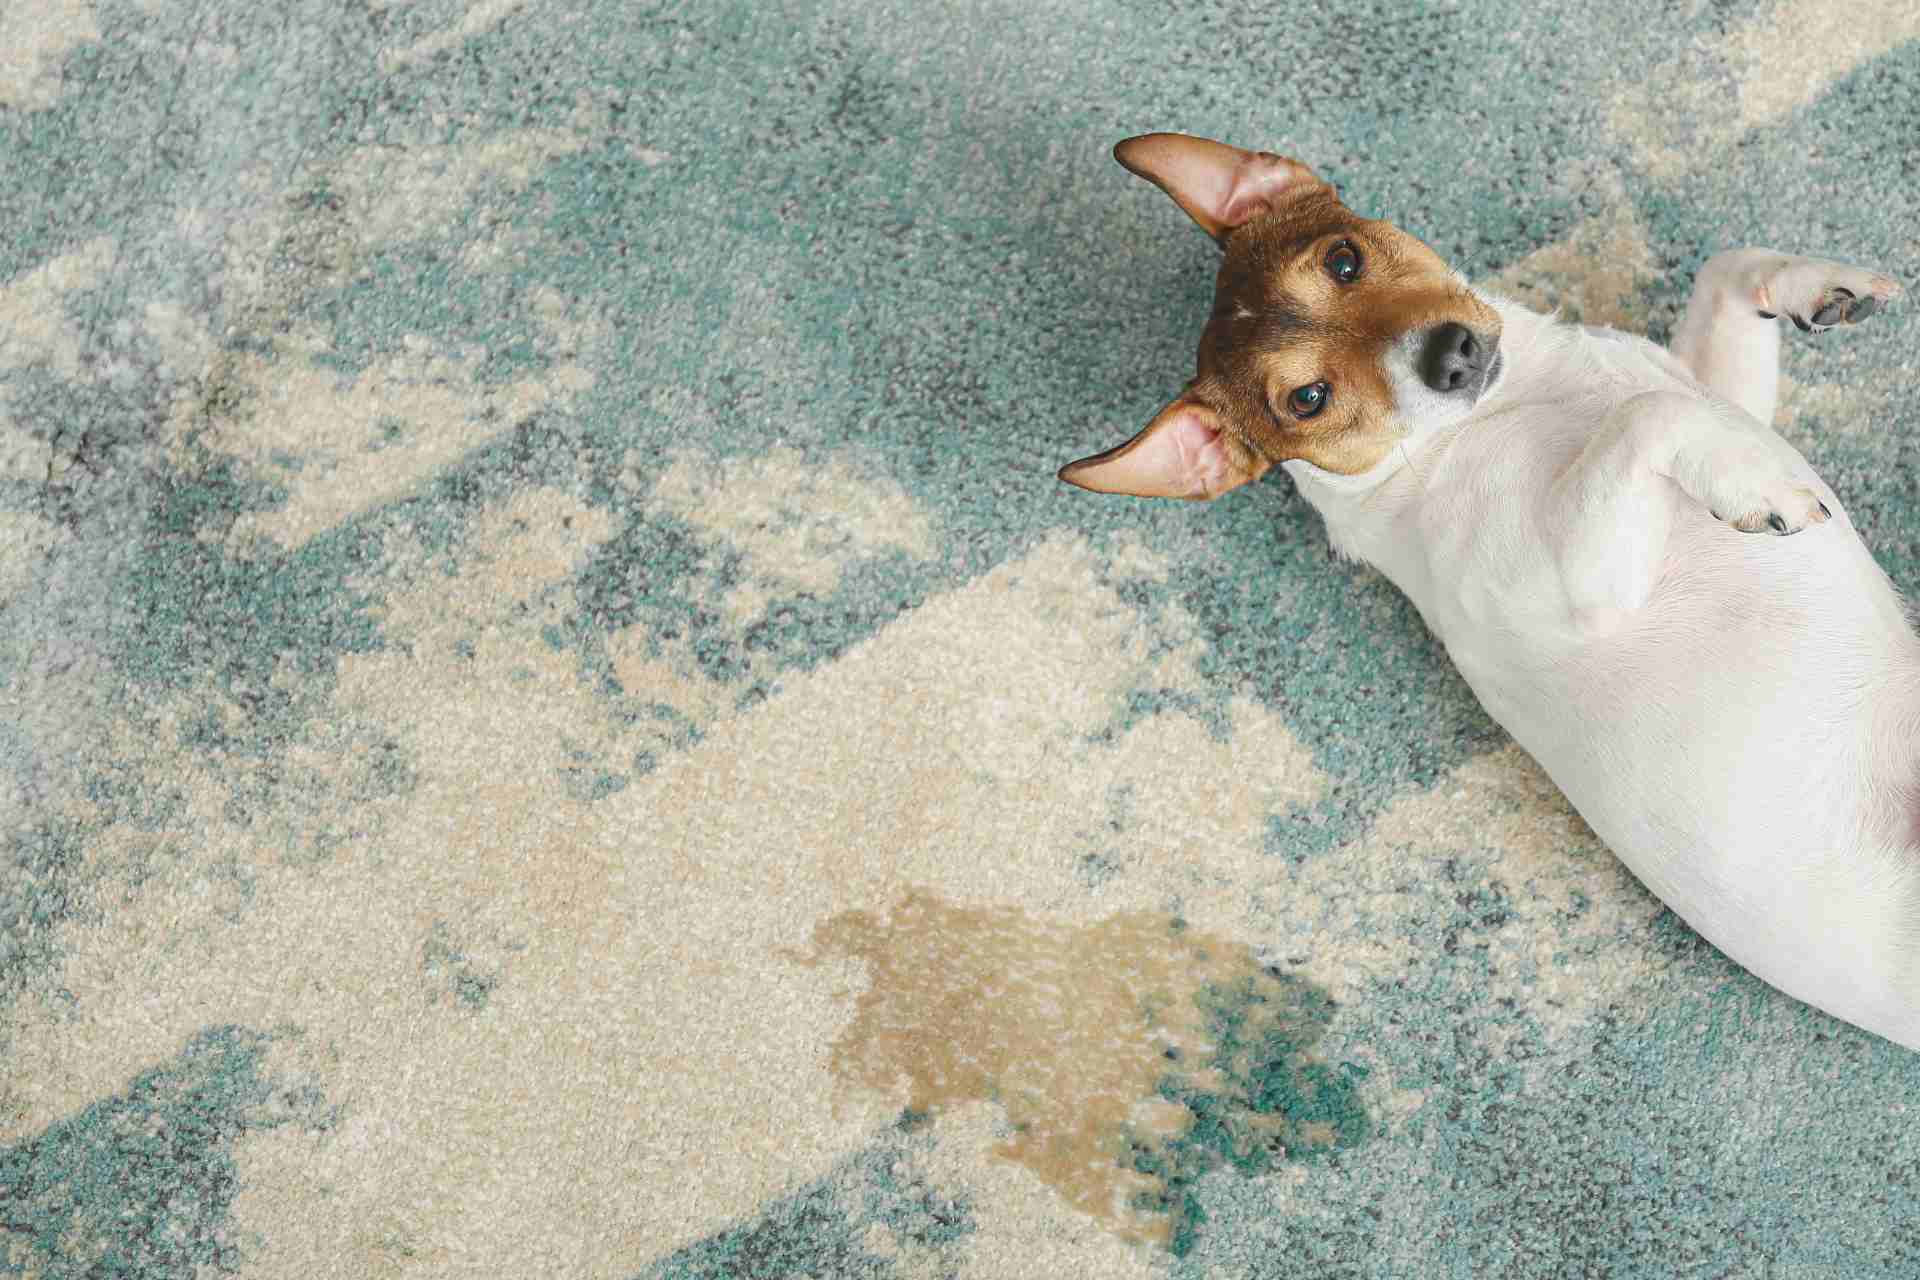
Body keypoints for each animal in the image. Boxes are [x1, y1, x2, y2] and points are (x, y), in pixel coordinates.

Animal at [1059, 132, 1912, 1051]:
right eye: (1308, 398)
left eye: (1344, 259)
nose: (1452, 353)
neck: (1499, 410)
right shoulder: (1576, 584)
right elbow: (1648, 415)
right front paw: (1762, 485)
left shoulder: (1721, 393)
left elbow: (1723, 284)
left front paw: (1819, 288)